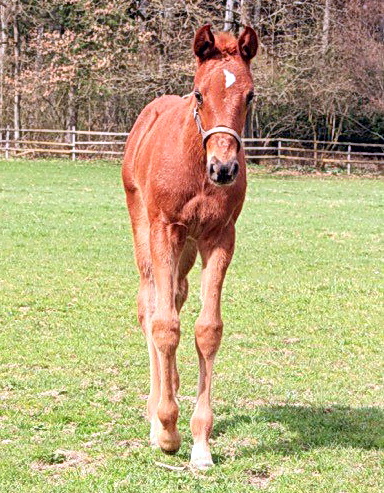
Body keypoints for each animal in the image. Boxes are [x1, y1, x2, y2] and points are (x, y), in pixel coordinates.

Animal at [121, 24, 256, 468]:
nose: (224, 168)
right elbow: (164, 325)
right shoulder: (166, 228)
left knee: (176, 295)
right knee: (149, 304)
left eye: (250, 95)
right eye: (199, 93)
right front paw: (166, 431)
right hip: (145, 230)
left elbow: (207, 329)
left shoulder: (220, 236)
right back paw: (154, 410)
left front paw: (200, 444)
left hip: (188, 247)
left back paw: (173, 387)